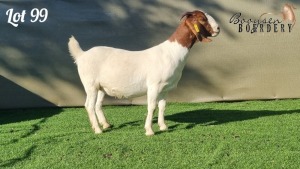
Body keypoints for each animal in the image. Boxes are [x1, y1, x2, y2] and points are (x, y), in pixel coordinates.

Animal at [68, 9, 220, 135]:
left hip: (101, 87)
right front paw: (149, 130)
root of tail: (82, 55)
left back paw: (105, 124)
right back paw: (98, 130)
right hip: (90, 84)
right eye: (202, 19)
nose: (218, 28)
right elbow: (151, 107)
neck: (171, 52)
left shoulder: (165, 88)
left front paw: (163, 126)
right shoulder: (154, 86)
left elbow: (162, 106)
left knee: (97, 105)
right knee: (89, 105)